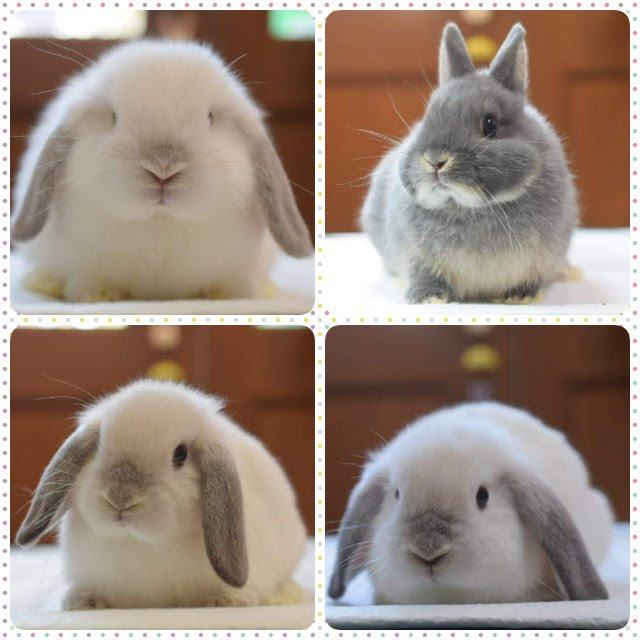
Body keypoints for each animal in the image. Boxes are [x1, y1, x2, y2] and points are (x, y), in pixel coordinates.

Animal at [11, 39, 313, 302]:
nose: (163, 168)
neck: (160, 222)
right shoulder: (84, 267)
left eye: (211, 117)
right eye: (113, 117)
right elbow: (87, 283)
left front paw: (225, 296)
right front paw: (100, 296)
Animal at [15, 379, 307, 610]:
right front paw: (84, 601)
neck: (141, 542)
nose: (120, 498)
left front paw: (228, 600)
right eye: (97, 446)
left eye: (180, 455)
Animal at [360, 23, 578, 304]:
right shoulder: (417, 257)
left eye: (490, 125)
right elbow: (424, 275)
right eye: (427, 117)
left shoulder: (540, 259)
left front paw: (519, 297)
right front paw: (427, 298)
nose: (436, 160)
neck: (468, 208)